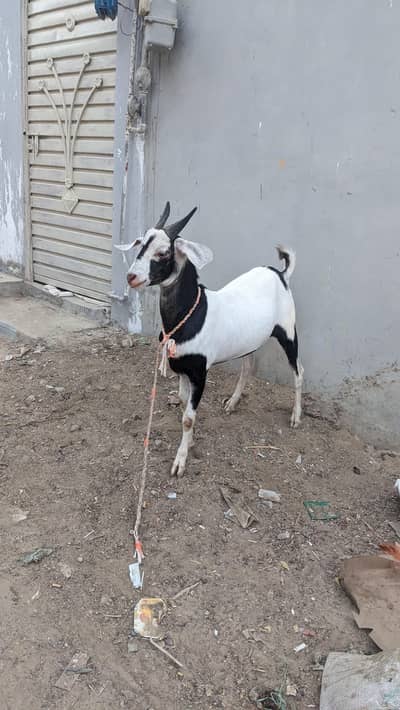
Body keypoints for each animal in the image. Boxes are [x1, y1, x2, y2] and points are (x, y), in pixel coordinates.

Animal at [116, 202, 304, 477]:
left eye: (163, 252)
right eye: (141, 244)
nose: (131, 277)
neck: (190, 316)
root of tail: (280, 274)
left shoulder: (199, 372)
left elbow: (188, 417)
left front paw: (180, 462)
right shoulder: (181, 369)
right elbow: (183, 404)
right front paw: (191, 441)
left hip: (288, 332)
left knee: (298, 371)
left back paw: (296, 417)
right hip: (249, 342)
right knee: (248, 367)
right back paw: (232, 403)